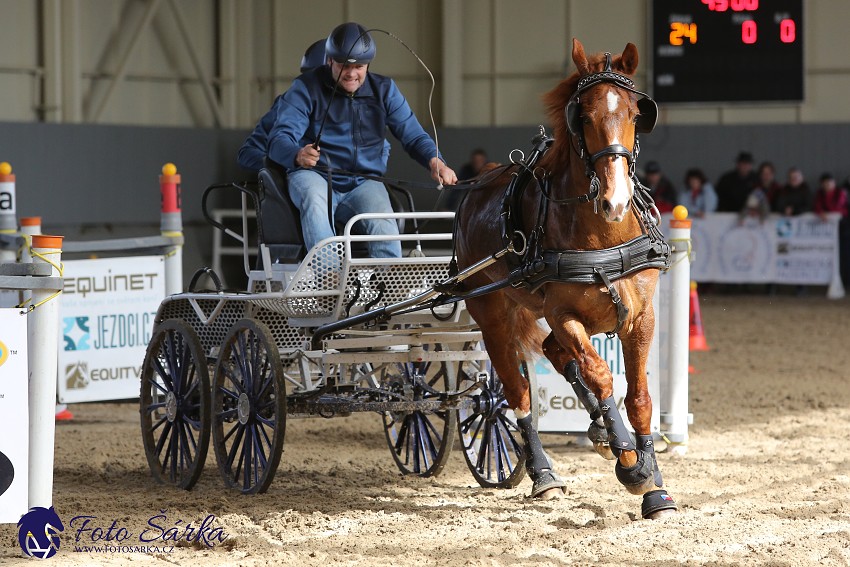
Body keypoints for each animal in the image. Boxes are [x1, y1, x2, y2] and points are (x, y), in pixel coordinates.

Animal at [454, 38, 680, 520]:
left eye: (636, 113)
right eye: (584, 117)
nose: (615, 201)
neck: (604, 234)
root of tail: (477, 188)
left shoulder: (641, 317)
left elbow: (639, 397)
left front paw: (655, 485)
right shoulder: (563, 315)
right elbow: (600, 375)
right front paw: (631, 465)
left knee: (554, 354)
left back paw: (598, 431)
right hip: (493, 317)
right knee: (517, 391)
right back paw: (543, 473)